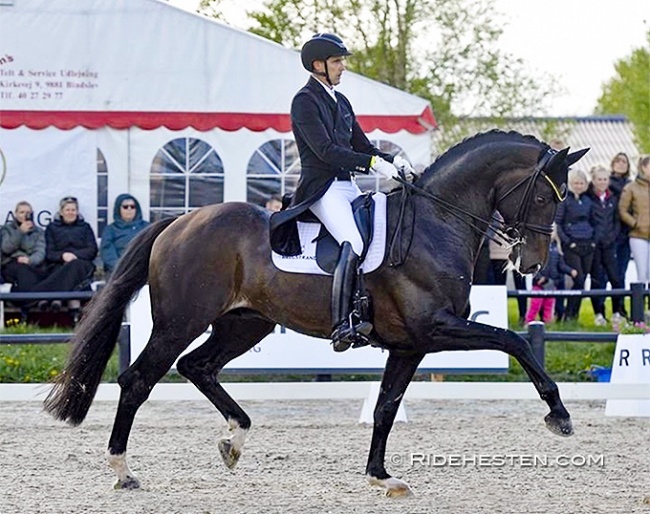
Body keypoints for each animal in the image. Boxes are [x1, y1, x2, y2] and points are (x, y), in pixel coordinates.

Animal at [44, 129, 588, 496]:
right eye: (544, 195)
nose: (531, 264)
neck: (438, 222)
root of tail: (179, 221)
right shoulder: (435, 328)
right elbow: (514, 340)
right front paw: (559, 415)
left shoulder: (410, 344)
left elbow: (386, 407)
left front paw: (380, 476)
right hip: (180, 322)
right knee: (138, 379)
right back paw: (123, 471)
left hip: (245, 323)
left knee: (197, 366)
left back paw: (234, 440)